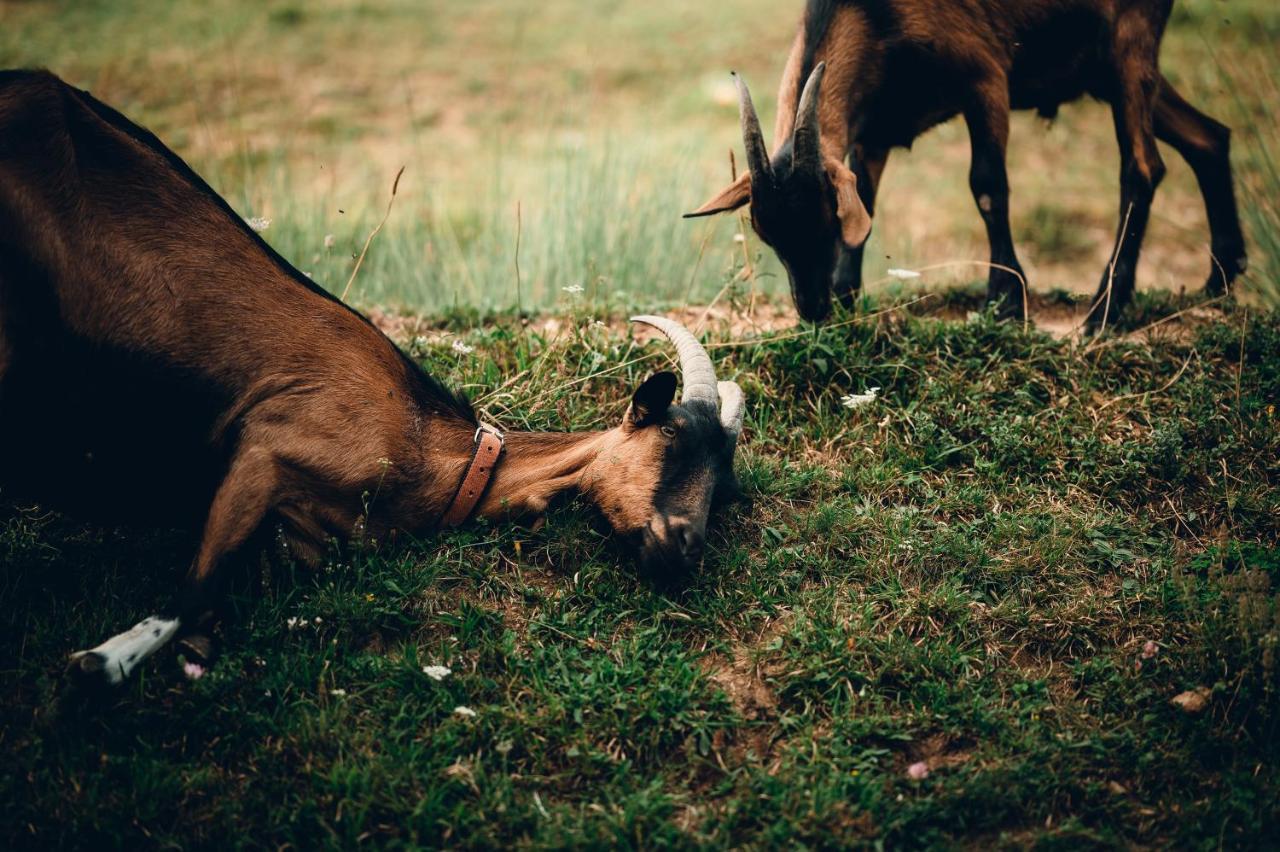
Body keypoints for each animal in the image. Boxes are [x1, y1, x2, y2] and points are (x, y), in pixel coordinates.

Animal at [0, 69, 747, 685]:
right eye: (672, 436)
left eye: (727, 479)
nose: (684, 549)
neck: (440, 453)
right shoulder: (267, 447)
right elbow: (194, 592)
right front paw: (98, 663)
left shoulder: (300, 532)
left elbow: (215, 613)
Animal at [686, 0, 1244, 330]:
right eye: (766, 234)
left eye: (825, 219)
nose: (812, 309)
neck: (876, 17)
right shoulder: (877, 128)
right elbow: (869, 202)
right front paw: (847, 294)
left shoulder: (986, 78)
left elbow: (988, 186)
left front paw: (1005, 298)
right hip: (1099, 65)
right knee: (1209, 137)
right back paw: (1219, 280)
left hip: (1128, 41)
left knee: (1143, 166)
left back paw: (1106, 307)